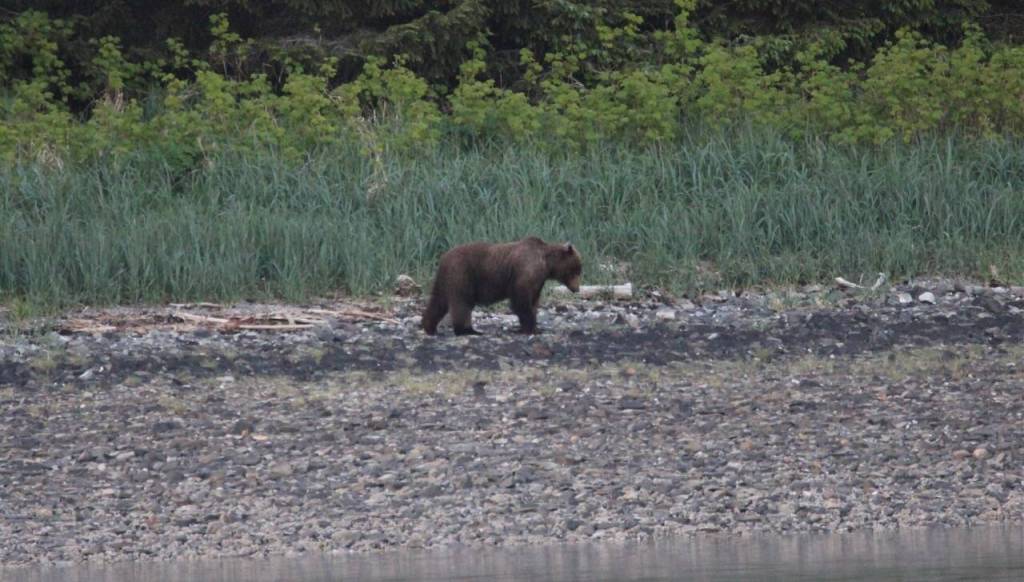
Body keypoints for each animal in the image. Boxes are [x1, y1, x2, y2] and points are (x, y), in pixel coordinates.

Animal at [421, 236, 582, 336]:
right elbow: (521, 299)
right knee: (462, 303)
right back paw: (467, 330)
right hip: (462, 274)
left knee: (438, 301)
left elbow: (534, 301)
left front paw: (533, 326)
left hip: (446, 280)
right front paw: (531, 328)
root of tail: (443, 258)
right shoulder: (526, 270)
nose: (577, 288)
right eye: (576, 270)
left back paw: (429, 326)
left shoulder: (538, 281)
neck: (547, 265)